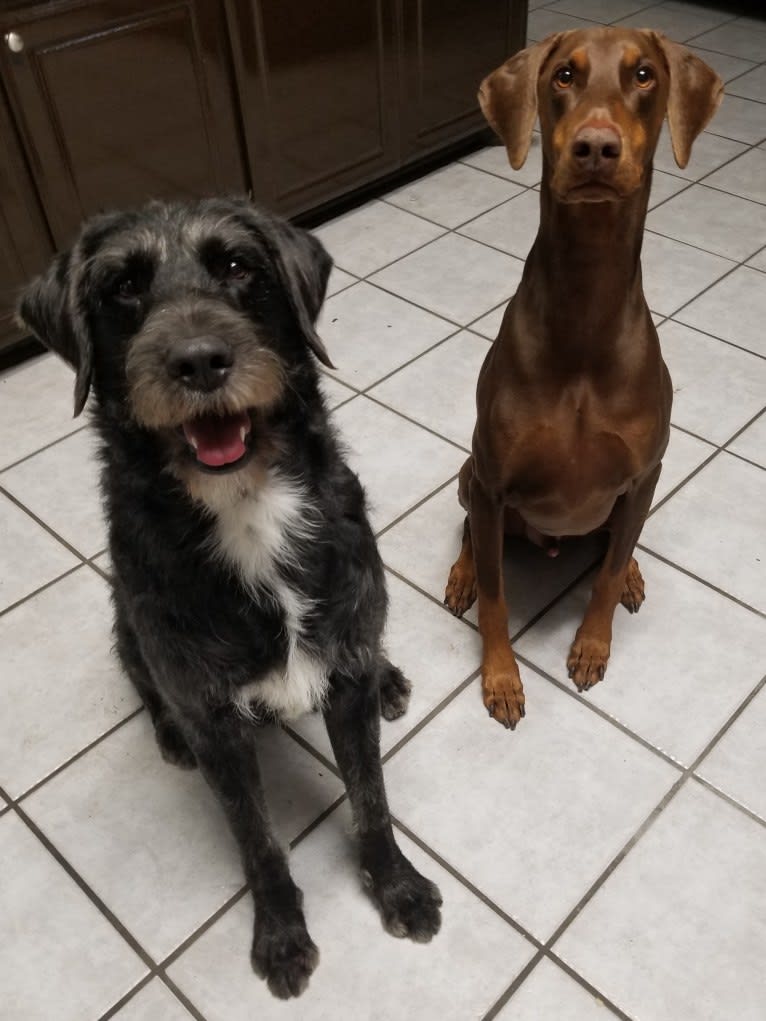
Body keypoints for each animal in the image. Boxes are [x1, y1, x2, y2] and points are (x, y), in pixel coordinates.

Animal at [18, 197, 443, 996]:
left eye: (239, 267)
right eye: (123, 285)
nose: (198, 360)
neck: (247, 507)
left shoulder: (342, 670)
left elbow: (371, 797)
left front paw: (398, 885)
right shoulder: (216, 717)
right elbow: (258, 838)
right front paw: (280, 932)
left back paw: (391, 677)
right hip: (124, 618)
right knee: (142, 677)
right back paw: (166, 731)